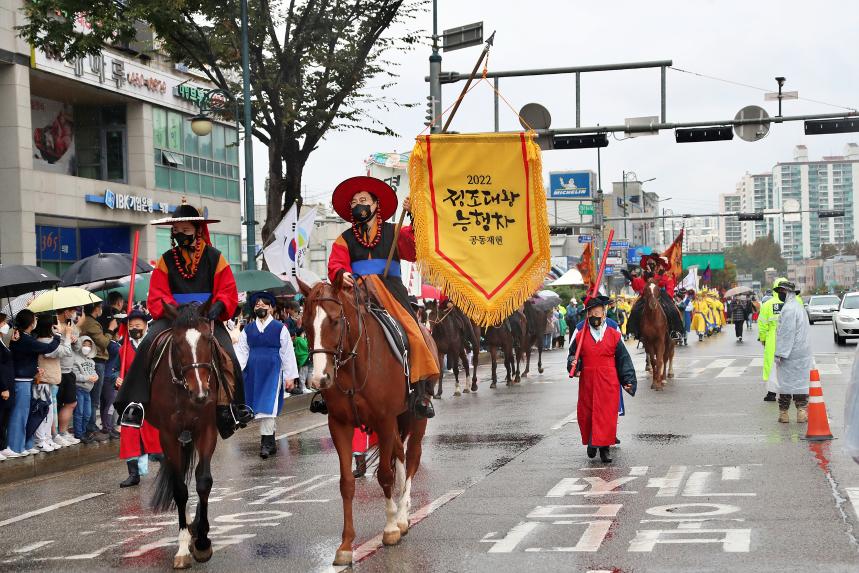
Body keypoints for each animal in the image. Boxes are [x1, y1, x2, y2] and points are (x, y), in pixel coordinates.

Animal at [149, 302, 222, 568]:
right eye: (178, 343)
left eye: (208, 339)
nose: (200, 393)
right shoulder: (168, 435)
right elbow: (179, 488)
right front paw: (183, 547)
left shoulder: (207, 429)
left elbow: (204, 481)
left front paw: (202, 541)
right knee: (177, 475)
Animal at [300, 278, 434, 568]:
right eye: (305, 324)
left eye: (335, 321)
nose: (319, 379)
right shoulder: (339, 424)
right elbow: (346, 483)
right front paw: (346, 545)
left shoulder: (383, 420)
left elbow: (384, 474)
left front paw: (391, 528)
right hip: (396, 420)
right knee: (399, 454)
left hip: (415, 416)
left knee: (412, 457)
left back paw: (403, 515)